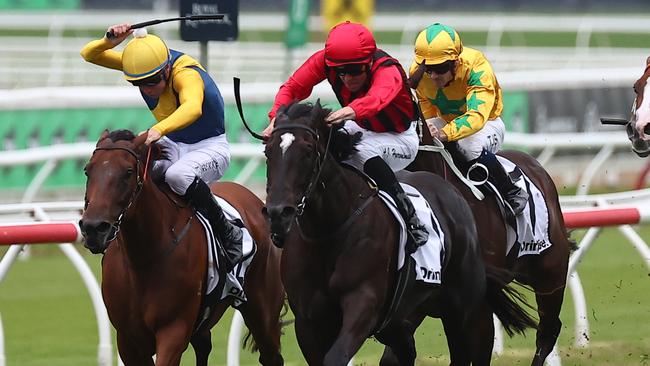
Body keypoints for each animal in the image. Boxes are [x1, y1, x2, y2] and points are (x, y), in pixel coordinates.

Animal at [76, 130, 284, 364]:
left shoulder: (173, 331)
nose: (93, 228)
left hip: (262, 311)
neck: (143, 258)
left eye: (128, 172)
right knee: (204, 346)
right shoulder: (128, 340)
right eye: (87, 170)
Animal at [260, 101, 536, 366]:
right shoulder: (307, 321)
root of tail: (451, 190)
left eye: (307, 151)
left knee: (472, 348)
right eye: (268, 151)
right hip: (401, 318)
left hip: (463, 307)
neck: (327, 232)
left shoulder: (364, 304)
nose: (278, 212)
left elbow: (336, 357)